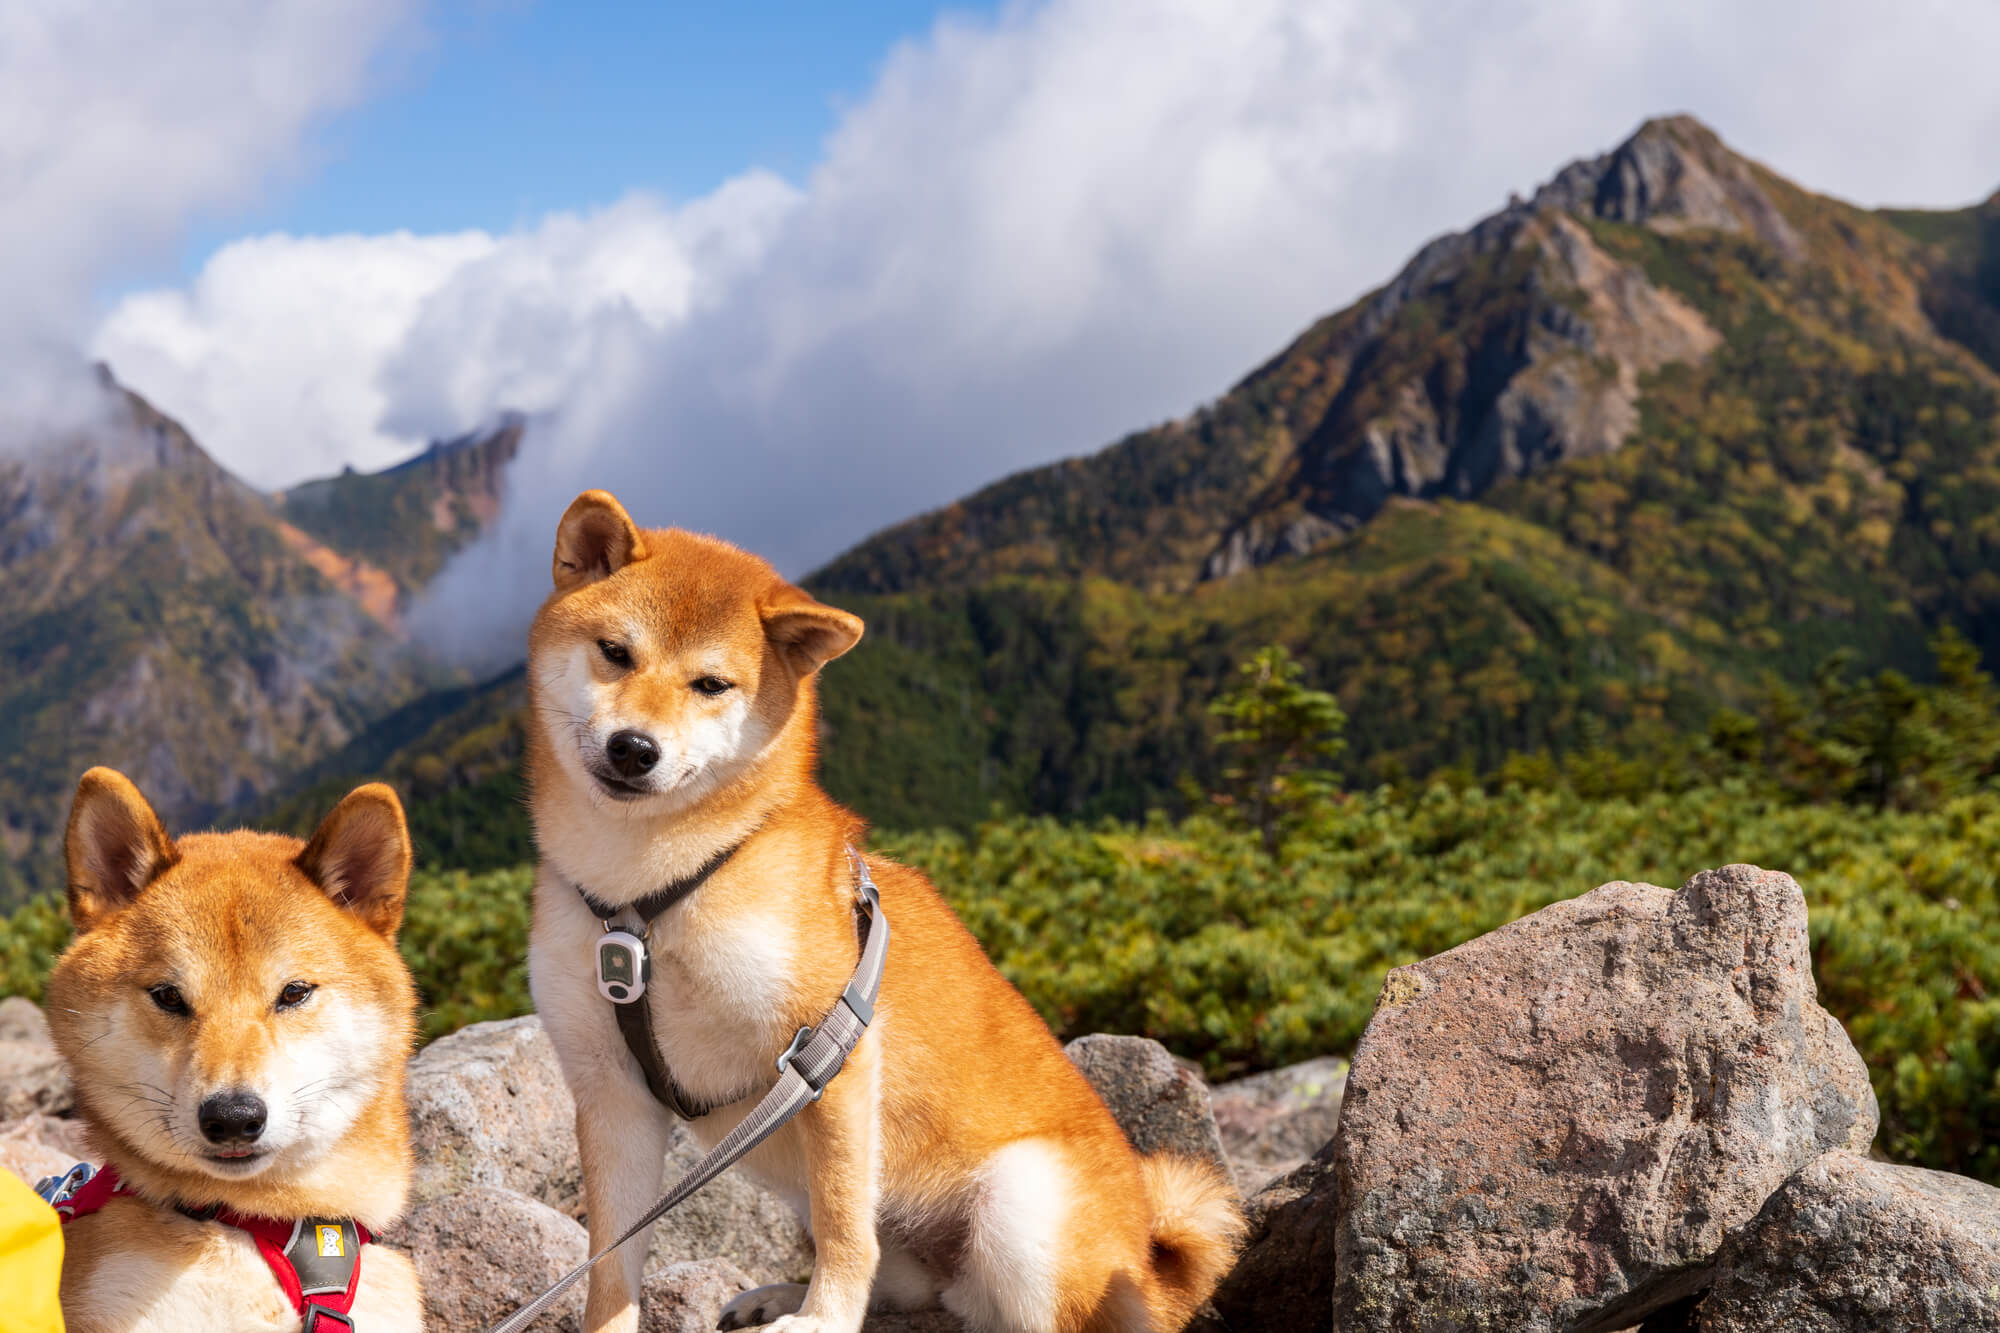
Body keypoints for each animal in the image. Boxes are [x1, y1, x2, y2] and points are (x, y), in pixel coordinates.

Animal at [524, 490, 1240, 1328]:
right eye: (615, 651)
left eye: (711, 685)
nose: (635, 748)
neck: (647, 900)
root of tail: (1154, 1271)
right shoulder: (612, 1092)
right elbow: (611, 1262)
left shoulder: (828, 1052)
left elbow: (844, 1227)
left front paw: (823, 1317)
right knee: (910, 1292)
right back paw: (778, 1294)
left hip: (1022, 1208)